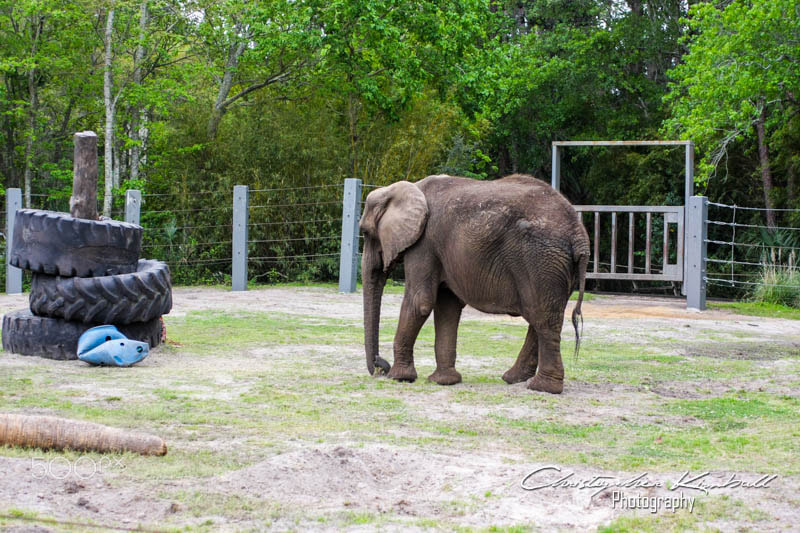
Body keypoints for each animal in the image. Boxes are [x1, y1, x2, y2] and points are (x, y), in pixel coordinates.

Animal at [360, 172, 592, 392]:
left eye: (364, 232)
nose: (380, 366)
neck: (405, 188)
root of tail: (578, 234)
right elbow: (447, 306)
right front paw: (443, 381)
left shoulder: (424, 243)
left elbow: (421, 301)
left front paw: (398, 378)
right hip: (556, 266)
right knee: (541, 316)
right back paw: (514, 379)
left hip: (540, 258)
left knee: (542, 317)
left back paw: (542, 387)